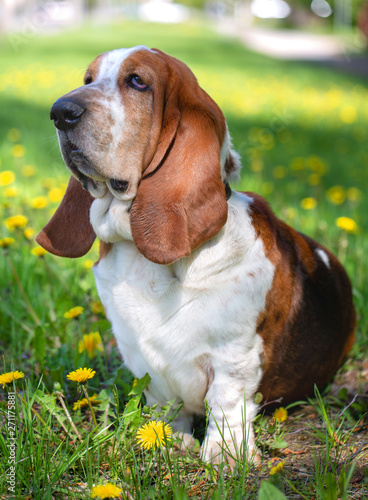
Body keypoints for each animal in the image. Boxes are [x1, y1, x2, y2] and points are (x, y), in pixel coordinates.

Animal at [36, 47, 354, 464]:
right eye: (88, 79)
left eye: (137, 81)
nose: (60, 111)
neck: (144, 261)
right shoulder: (145, 364)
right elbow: (163, 404)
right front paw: (164, 440)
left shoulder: (234, 358)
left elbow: (226, 404)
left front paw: (226, 459)